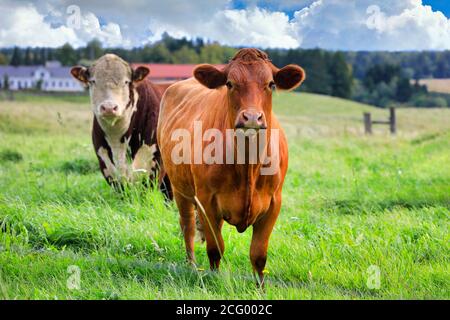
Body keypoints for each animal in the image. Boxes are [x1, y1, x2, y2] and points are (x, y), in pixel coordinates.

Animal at [156, 48, 304, 284]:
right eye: (229, 83)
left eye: (271, 84)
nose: (251, 117)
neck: (247, 164)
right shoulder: (207, 201)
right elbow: (215, 248)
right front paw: (214, 279)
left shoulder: (274, 203)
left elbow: (258, 255)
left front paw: (260, 287)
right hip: (180, 188)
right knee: (187, 226)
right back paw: (191, 265)